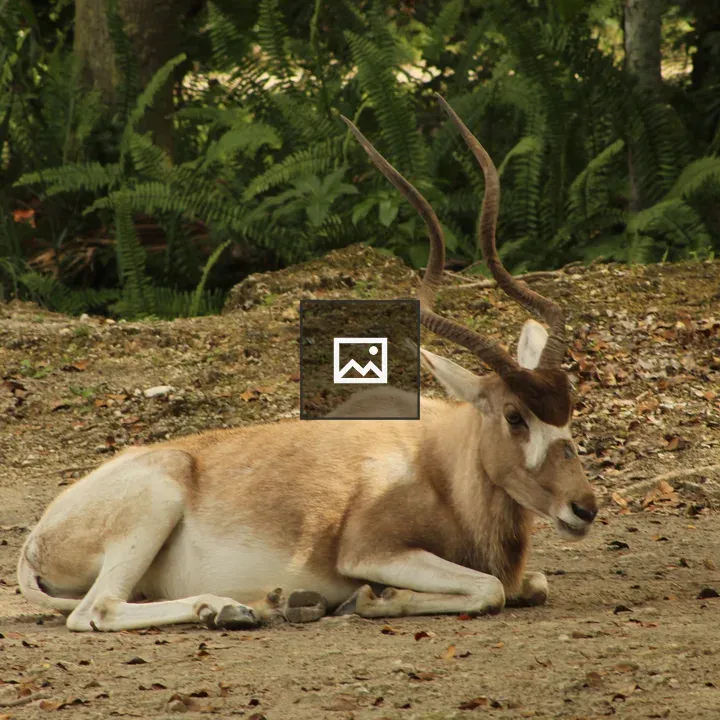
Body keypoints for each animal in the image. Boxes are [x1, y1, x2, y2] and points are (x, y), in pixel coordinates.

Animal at [16, 95, 597, 632]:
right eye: (515, 415)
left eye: (569, 410)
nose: (584, 508)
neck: (437, 462)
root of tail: (38, 537)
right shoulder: (370, 551)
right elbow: (491, 588)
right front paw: (371, 599)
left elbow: (531, 584)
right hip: (155, 502)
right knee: (96, 610)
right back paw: (233, 607)